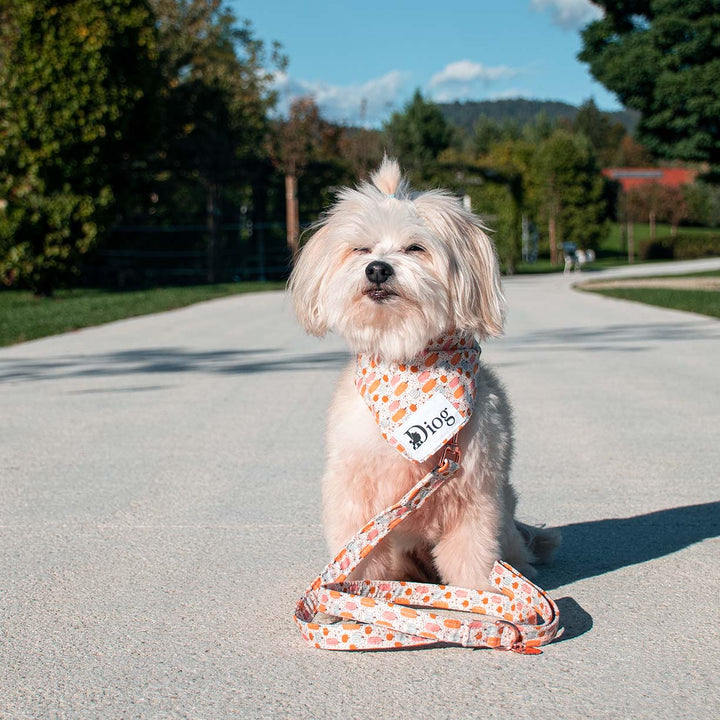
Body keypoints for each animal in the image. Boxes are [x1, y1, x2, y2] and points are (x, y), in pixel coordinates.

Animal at [290, 158, 560, 592]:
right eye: (362, 249)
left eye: (415, 248)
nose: (377, 269)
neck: (409, 363)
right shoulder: (355, 494)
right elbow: (360, 555)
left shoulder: (474, 495)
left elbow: (471, 559)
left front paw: (480, 598)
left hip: (504, 517)